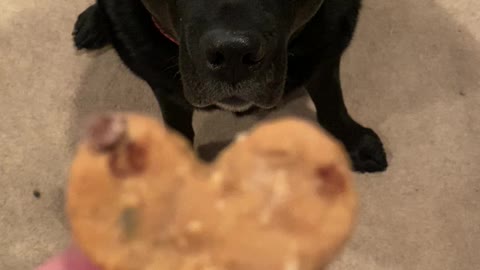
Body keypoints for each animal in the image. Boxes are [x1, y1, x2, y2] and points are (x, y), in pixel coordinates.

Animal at [73, 0, 388, 173]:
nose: (233, 56)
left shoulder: (327, 48)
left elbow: (330, 100)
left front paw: (353, 140)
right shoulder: (164, 86)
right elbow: (178, 125)